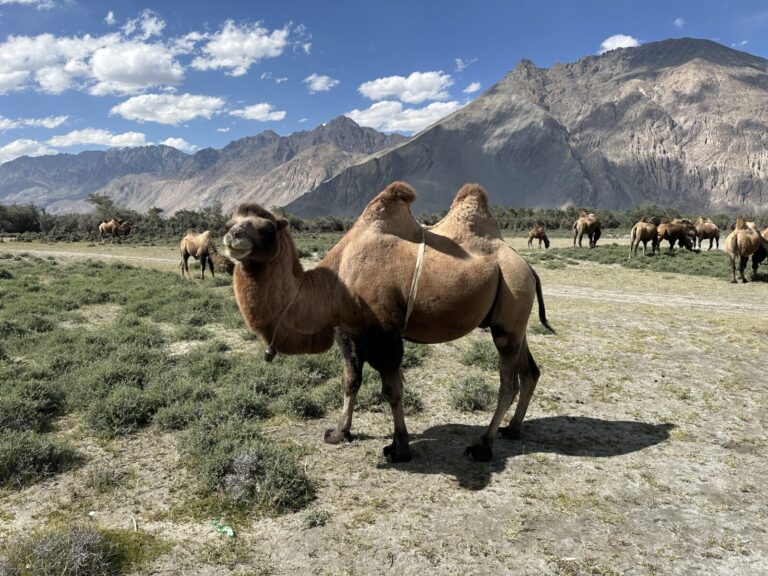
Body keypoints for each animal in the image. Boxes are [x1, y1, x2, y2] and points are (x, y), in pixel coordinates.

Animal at [223, 182, 554, 463]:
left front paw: (399, 448)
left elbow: (393, 390)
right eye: (228, 223)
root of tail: (528, 267)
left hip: (510, 308)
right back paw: (512, 430)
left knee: (508, 383)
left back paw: (482, 446)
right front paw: (339, 433)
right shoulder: (348, 333)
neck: (337, 283)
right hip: (514, 319)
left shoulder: (386, 334)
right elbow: (350, 382)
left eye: (267, 228)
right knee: (530, 371)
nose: (232, 237)